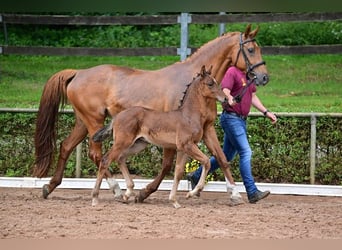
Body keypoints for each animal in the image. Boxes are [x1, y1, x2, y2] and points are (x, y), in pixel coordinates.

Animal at [91, 65, 240, 208]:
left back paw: (128, 193)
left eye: (216, 82)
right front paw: (192, 193)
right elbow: (206, 161)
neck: (189, 115)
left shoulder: (183, 149)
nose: (226, 98)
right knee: (106, 160)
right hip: (122, 142)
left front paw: (174, 201)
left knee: (120, 158)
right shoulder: (187, 145)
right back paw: (95, 198)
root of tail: (116, 117)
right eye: (210, 83)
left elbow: (178, 172)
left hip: (138, 144)